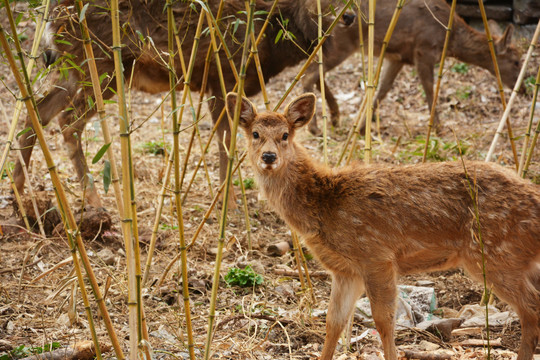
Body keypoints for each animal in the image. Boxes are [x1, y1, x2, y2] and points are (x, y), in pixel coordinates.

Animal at [12, 0, 338, 208]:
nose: (344, 18)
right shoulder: (224, 72)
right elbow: (226, 140)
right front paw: (229, 204)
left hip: (75, 64)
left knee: (37, 110)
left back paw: (18, 192)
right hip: (104, 64)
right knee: (67, 122)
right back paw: (95, 202)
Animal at [228, 91, 540, 358]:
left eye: (285, 135)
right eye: (255, 134)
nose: (269, 157)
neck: (325, 204)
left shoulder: (376, 256)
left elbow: (383, 321)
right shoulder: (346, 271)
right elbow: (334, 322)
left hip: (496, 255)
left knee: (530, 308)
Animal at [302, 0, 520, 134]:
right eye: (517, 61)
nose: (523, 88)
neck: (449, 39)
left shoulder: (398, 58)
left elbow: (383, 90)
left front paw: (363, 128)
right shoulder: (423, 52)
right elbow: (430, 90)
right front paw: (437, 127)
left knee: (315, 72)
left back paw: (335, 117)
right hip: (342, 44)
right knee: (308, 74)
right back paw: (314, 128)